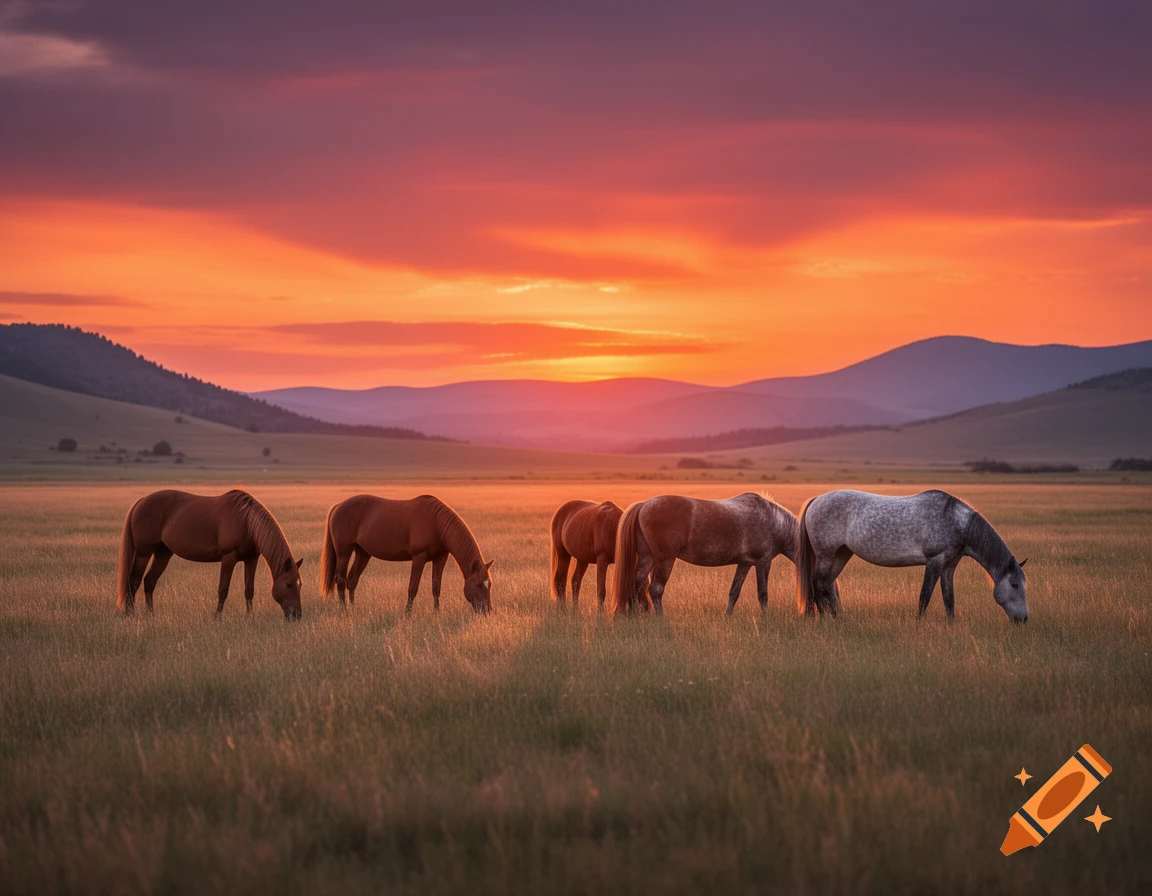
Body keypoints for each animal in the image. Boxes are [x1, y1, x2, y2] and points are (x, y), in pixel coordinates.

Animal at [116, 489, 304, 618]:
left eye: (299, 585)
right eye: (288, 584)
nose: (296, 616)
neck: (246, 521)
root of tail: (142, 501)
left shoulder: (251, 559)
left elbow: (249, 590)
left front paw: (249, 616)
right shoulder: (228, 558)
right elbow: (223, 590)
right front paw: (218, 617)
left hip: (163, 554)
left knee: (149, 581)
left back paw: (151, 614)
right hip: (143, 553)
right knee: (134, 581)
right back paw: (130, 614)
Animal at [320, 494, 493, 613]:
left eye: (489, 584)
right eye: (478, 584)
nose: (487, 611)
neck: (436, 523)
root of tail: (338, 506)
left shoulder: (440, 558)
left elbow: (436, 587)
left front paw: (436, 613)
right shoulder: (419, 557)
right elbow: (412, 588)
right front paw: (407, 614)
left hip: (363, 554)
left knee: (352, 580)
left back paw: (353, 608)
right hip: (344, 553)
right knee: (341, 580)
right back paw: (345, 611)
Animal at [610, 493, 799, 615]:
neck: (774, 521)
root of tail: (644, 505)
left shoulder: (744, 564)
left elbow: (734, 592)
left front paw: (727, 617)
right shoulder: (763, 562)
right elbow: (763, 594)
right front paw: (765, 619)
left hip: (647, 557)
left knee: (636, 585)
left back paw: (634, 616)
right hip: (665, 560)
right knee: (655, 589)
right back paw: (661, 619)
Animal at [796, 489, 1028, 622]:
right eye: (1015, 584)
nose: (1023, 619)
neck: (956, 521)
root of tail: (817, 500)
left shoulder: (949, 566)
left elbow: (949, 598)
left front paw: (952, 625)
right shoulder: (934, 562)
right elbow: (925, 596)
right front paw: (919, 623)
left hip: (841, 555)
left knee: (826, 585)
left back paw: (836, 619)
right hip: (826, 555)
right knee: (817, 584)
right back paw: (825, 619)